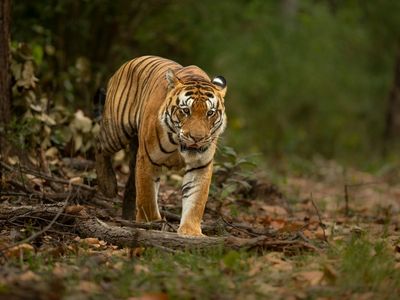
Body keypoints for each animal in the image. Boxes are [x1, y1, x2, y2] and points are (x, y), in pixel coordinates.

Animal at [93, 55, 225, 236]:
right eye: (185, 110)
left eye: (210, 113)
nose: (197, 138)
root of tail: (130, 62)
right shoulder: (148, 160)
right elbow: (147, 196)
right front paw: (152, 223)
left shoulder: (200, 165)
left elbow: (196, 199)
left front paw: (191, 232)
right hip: (116, 129)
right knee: (100, 144)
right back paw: (108, 185)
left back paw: (127, 216)